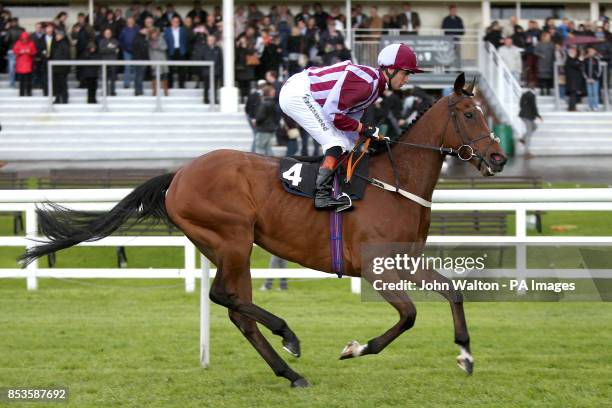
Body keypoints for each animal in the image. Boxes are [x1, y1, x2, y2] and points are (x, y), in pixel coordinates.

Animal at [19, 73, 506, 388]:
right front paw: (354, 348)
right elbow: (408, 316)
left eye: (484, 112)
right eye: (469, 114)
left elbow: (453, 292)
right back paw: (288, 336)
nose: (498, 159)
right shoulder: (376, 270)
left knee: (238, 309)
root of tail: (180, 174)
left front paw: (465, 355)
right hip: (233, 238)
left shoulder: (405, 260)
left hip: (226, 246)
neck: (394, 181)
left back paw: (289, 372)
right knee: (225, 296)